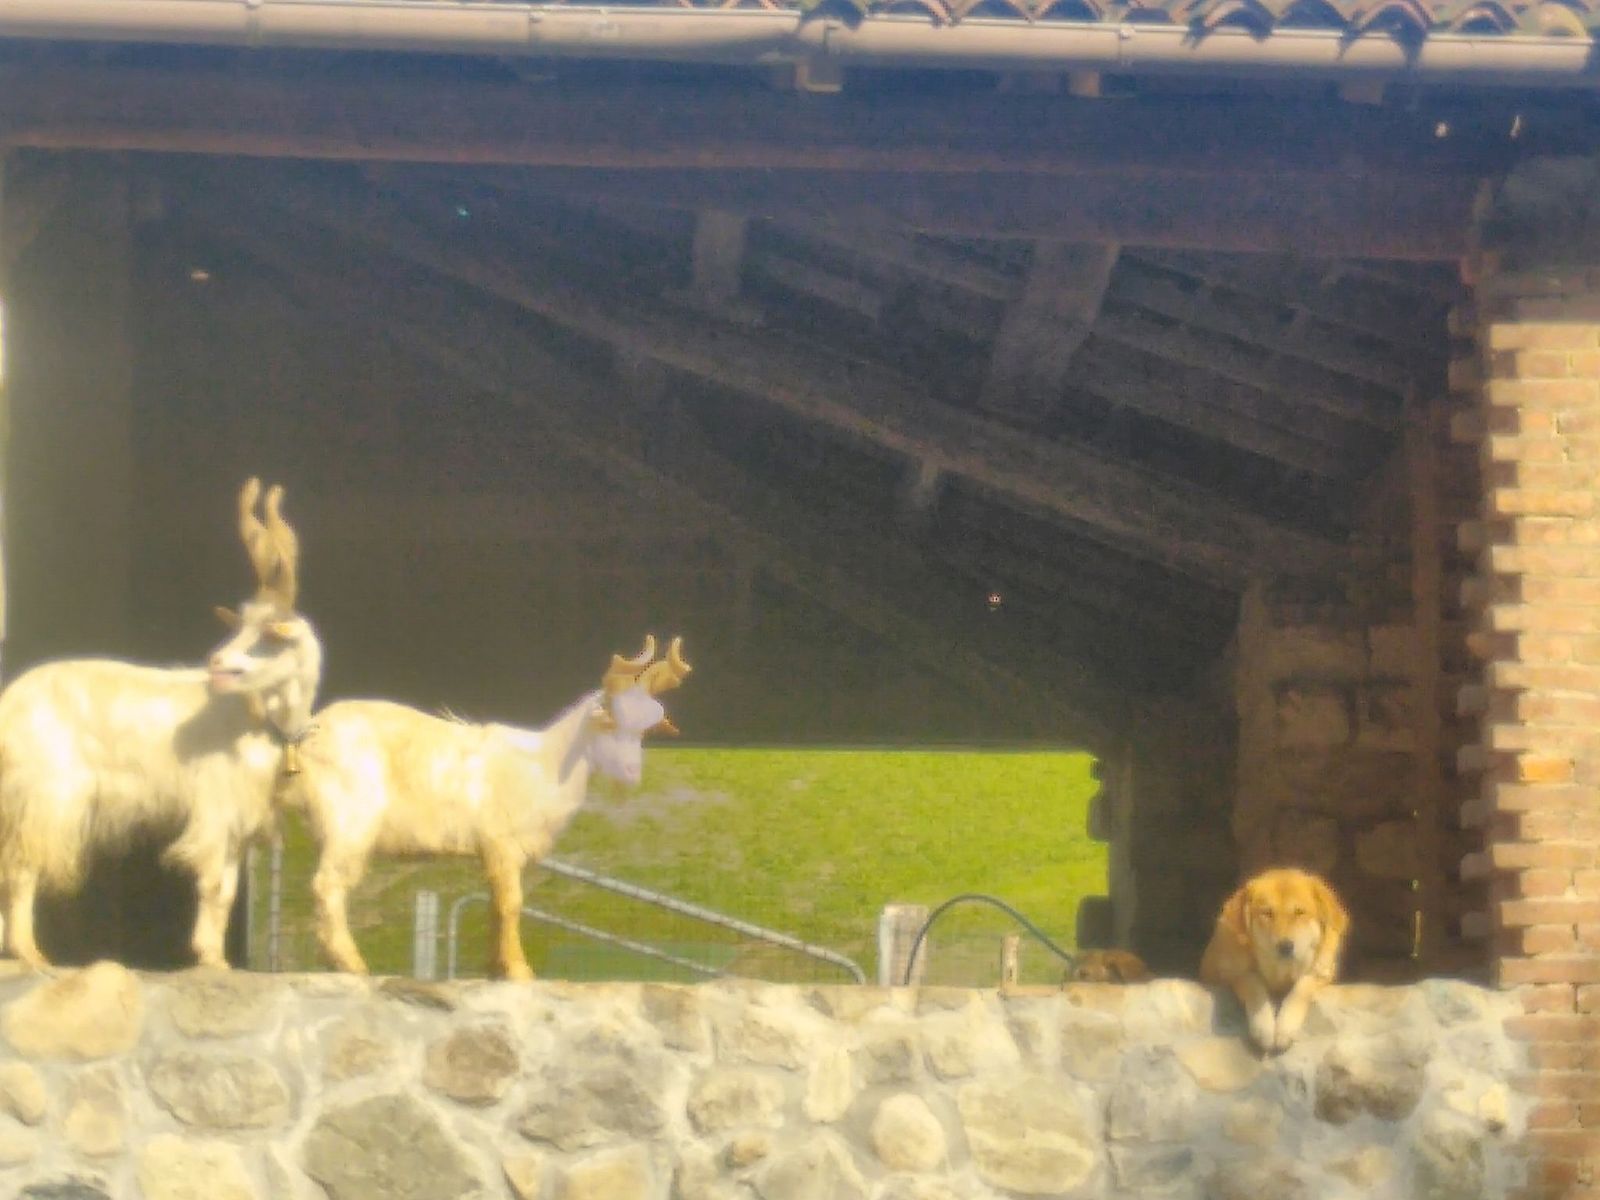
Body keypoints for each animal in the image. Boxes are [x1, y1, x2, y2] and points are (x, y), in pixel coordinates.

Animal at [0, 478, 323, 970]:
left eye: (270, 633)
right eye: (240, 626)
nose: (216, 661)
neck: (259, 718)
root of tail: (9, 702)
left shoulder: (240, 821)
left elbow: (228, 890)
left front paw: (214, 957)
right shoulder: (217, 805)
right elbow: (213, 884)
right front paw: (210, 958)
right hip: (47, 793)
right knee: (22, 864)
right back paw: (30, 953)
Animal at [286, 635, 691, 980]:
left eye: (646, 731)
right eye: (608, 718)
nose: (632, 772)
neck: (546, 763)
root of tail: (308, 734)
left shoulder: (501, 852)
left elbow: (496, 906)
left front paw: (496, 967)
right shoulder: (502, 842)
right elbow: (511, 904)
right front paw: (518, 970)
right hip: (350, 820)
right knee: (327, 886)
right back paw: (349, 963)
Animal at [1199, 867, 1349, 1054]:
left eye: (1299, 912)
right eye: (1267, 913)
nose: (1285, 946)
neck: (1280, 972)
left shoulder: (1322, 972)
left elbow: (1301, 988)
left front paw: (1286, 1028)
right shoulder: (1232, 973)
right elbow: (1254, 985)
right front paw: (1264, 1028)